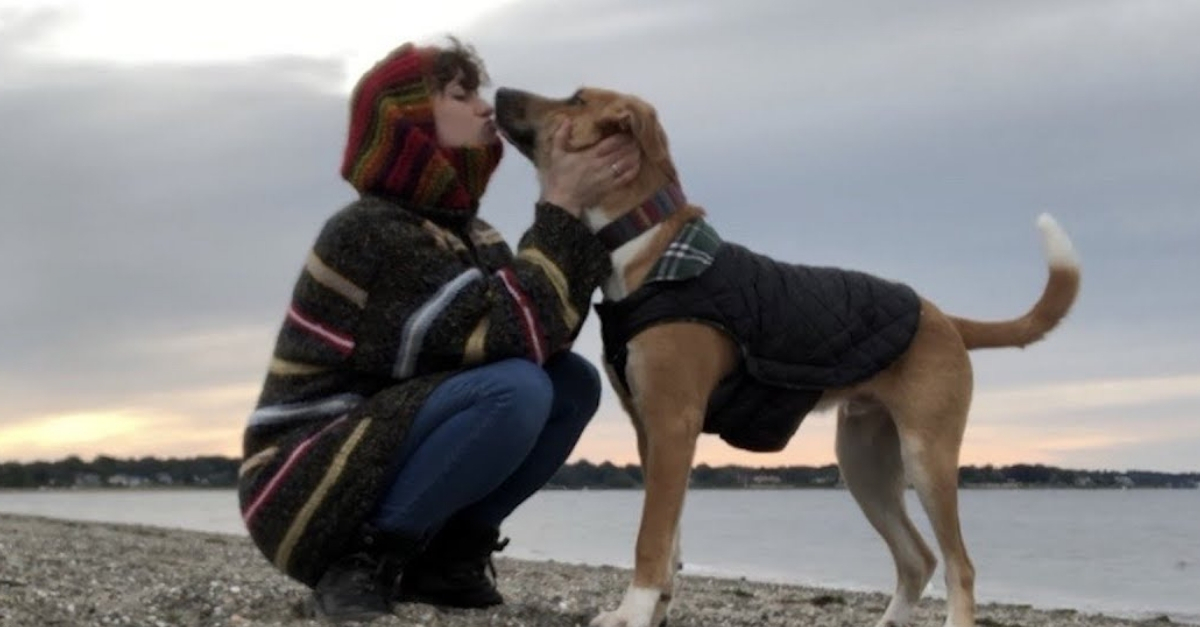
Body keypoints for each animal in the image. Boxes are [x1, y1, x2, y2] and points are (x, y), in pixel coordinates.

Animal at [494, 86, 1081, 627]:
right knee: (919, 558)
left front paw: (633, 613)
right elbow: (671, 538)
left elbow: (651, 537)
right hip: (863, 462)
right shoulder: (650, 431)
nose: (499, 92)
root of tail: (943, 317)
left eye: (576, 99)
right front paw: (655, 608)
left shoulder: (672, 423)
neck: (643, 246)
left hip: (926, 455)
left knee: (960, 565)